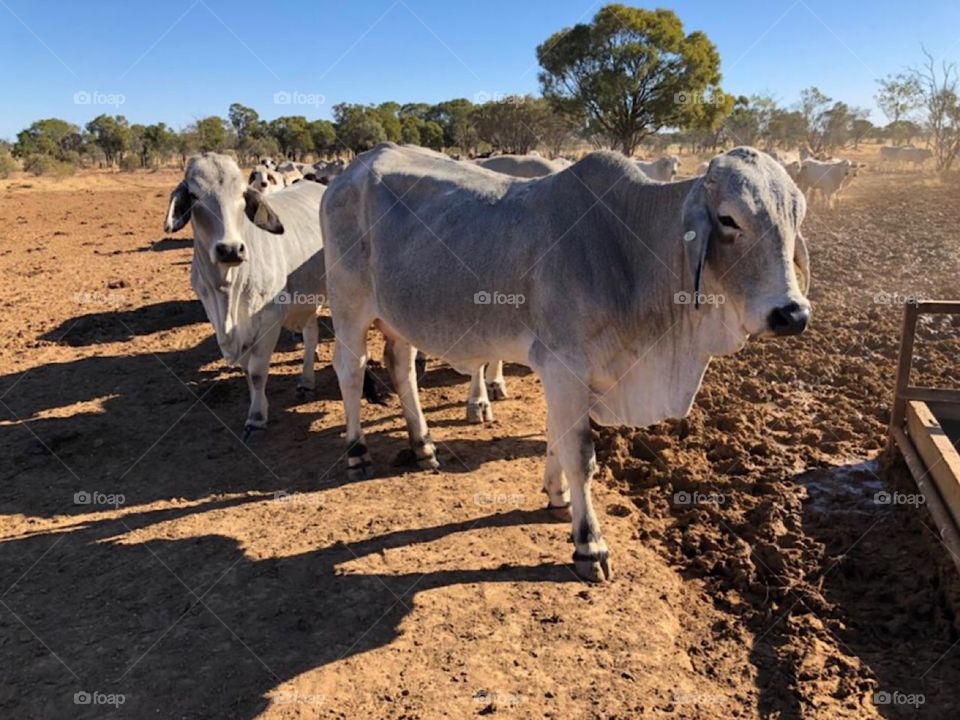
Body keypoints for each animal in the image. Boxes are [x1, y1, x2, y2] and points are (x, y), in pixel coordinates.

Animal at [164, 152, 381, 440]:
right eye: (194, 195)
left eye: (242, 194)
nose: (230, 249)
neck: (228, 289)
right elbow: (247, 369)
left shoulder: (269, 318)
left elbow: (257, 372)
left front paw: (256, 418)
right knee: (311, 335)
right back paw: (306, 381)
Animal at [321, 143, 811, 582]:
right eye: (729, 219)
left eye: (796, 218)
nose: (792, 314)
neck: (628, 247)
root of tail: (354, 167)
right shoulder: (564, 366)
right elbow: (579, 455)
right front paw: (589, 544)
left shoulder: (563, 373)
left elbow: (554, 434)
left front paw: (556, 496)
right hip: (348, 306)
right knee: (351, 370)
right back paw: (357, 452)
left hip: (399, 316)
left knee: (401, 366)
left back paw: (423, 445)